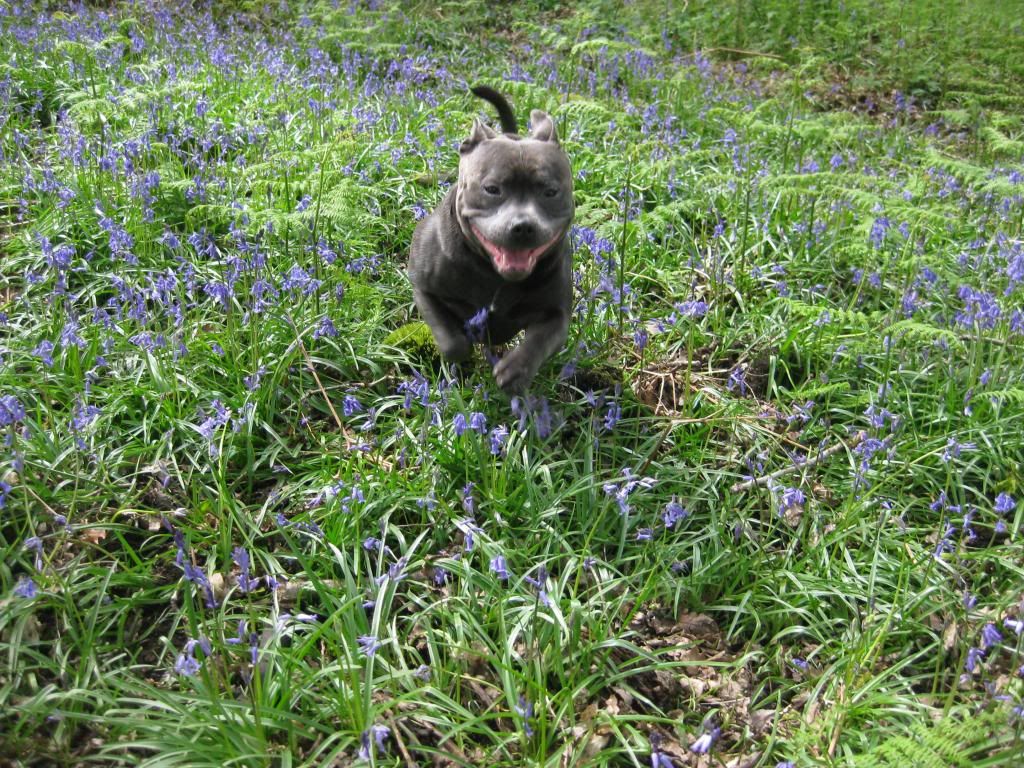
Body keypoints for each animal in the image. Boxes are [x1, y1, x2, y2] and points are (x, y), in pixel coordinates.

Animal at [407, 87, 573, 393]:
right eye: (492, 189)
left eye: (550, 192)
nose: (523, 226)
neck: (495, 275)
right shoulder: (423, 288)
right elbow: (452, 342)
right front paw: (467, 342)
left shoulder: (557, 313)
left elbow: (541, 340)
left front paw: (516, 369)